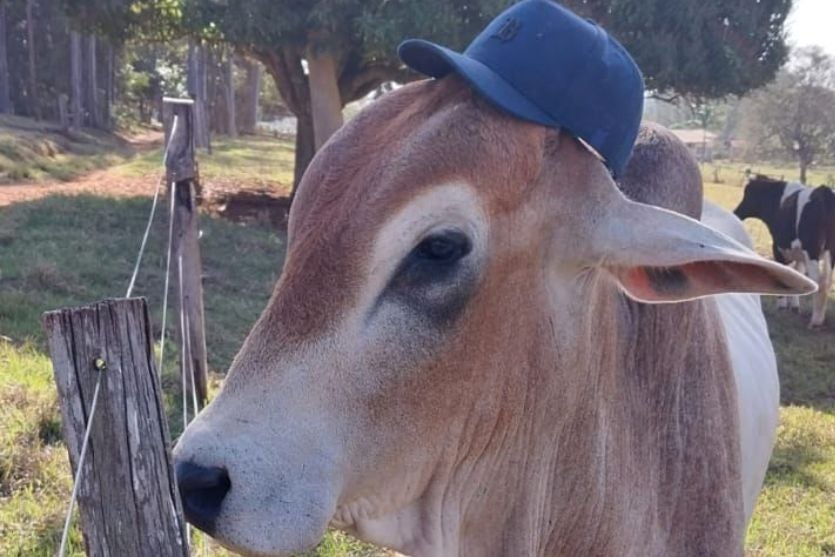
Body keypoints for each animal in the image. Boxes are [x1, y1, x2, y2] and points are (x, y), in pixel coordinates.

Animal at [734, 174, 835, 327]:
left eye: (747, 193)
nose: (735, 213)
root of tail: (824, 191)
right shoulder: (800, 254)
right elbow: (799, 275)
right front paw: (794, 306)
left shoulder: (777, 247)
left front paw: (782, 306)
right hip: (830, 253)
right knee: (827, 282)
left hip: (812, 251)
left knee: (820, 282)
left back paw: (815, 321)